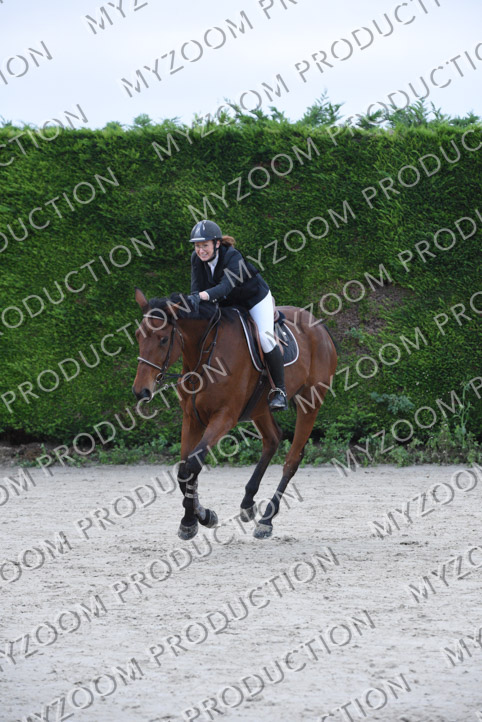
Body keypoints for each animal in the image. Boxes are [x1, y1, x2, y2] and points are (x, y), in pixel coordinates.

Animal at [132, 288, 337, 540]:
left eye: (162, 339)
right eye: (138, 336)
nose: (140, 391)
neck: (204, 356)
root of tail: (319, 326)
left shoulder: (223, 417)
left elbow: (193, 465)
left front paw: (193, 520)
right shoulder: (192, 418)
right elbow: (184, 472)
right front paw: (200, 516)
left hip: (310, 402)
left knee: (292, 459)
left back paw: (266, 520)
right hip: (260, 407)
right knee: (272, 439)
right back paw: (248, 503)